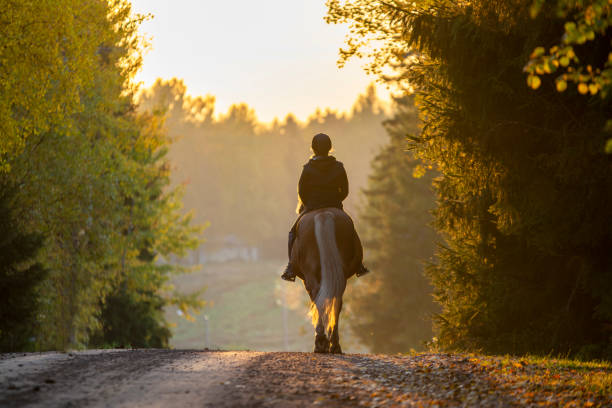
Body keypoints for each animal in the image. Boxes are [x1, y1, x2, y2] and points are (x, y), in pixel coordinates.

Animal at [290, 207, 360, 354]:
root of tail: (323, 214)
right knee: (336, 299)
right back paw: (334, 344)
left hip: (310, 271)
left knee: (318, 297)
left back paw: (321, 343)